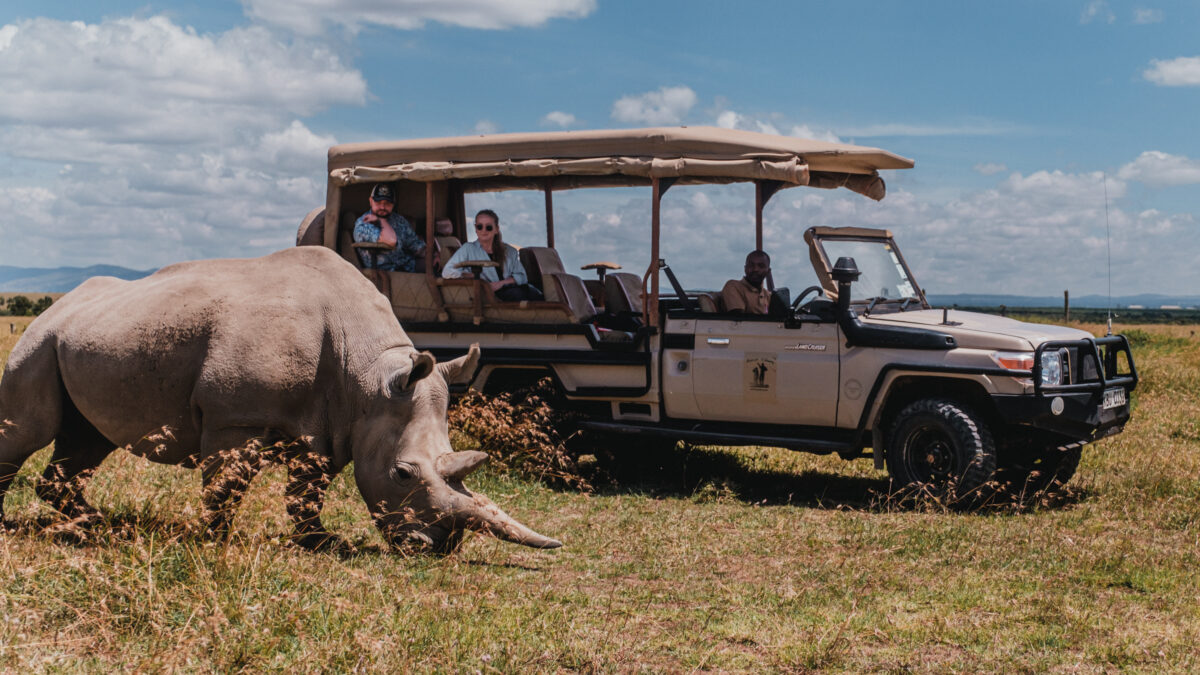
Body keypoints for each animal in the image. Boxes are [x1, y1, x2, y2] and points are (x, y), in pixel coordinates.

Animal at [0, 247, 561, 552]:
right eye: (403, 474)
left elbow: (306, 492)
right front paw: (215, 540)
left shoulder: (333, 425)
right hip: (41, 337)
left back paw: (90, 524)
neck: (369, 373)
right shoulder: (236, 416)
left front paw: (320, 542)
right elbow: (226, 484)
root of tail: (63, 302)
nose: (437, 548)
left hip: (85, 335)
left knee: (88, 437)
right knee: (30, 430)